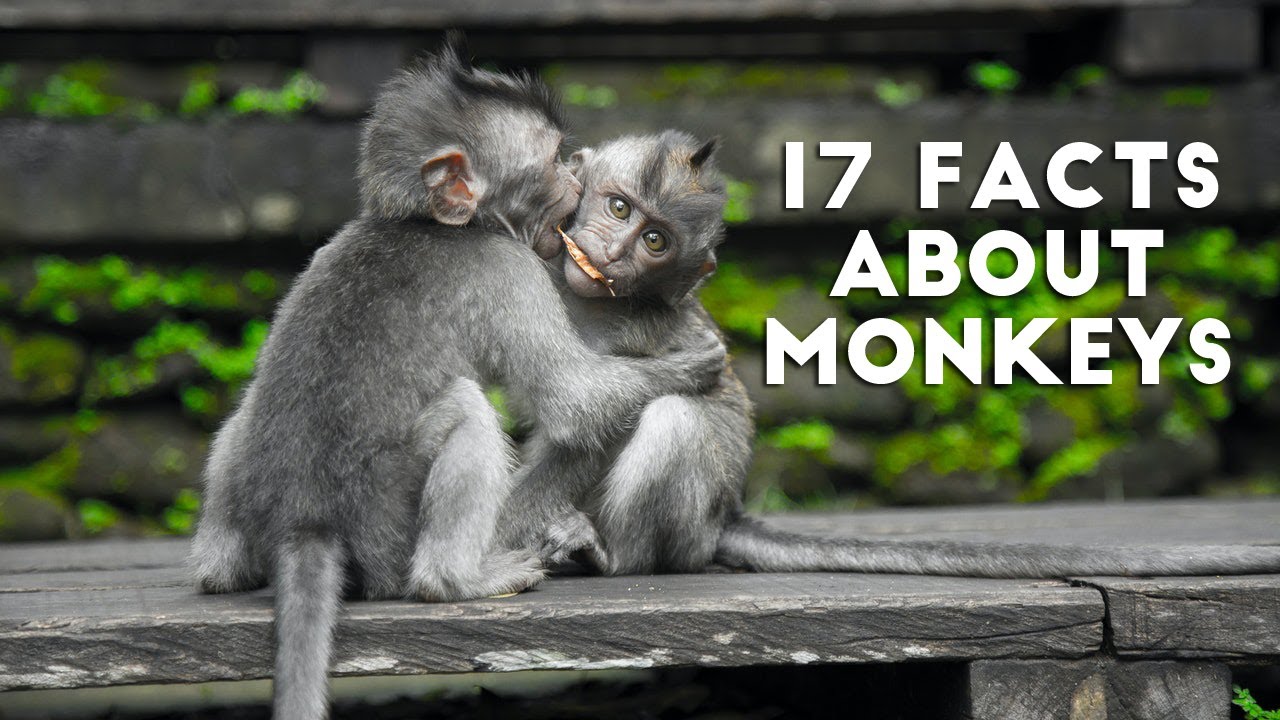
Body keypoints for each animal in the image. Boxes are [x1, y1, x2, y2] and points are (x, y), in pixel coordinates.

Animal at [188, 43, 725, 720]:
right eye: (553, 161)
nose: (578, 178)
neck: (428, 223)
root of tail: (306, 522)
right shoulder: (509, 268)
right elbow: (574, 401)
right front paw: (693, 363)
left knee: (246, 414)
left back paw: (221, 570)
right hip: (387, 526)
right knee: (466, 413)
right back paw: (459, 579)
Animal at [499, 130, 1280, 580]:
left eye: (656, 242)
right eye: (619, 208)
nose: (613, 254)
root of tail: (726, 514)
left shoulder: (644, 329)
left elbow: (596, 424)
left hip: (691, 522)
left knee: (674, 420)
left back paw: (613, 556)